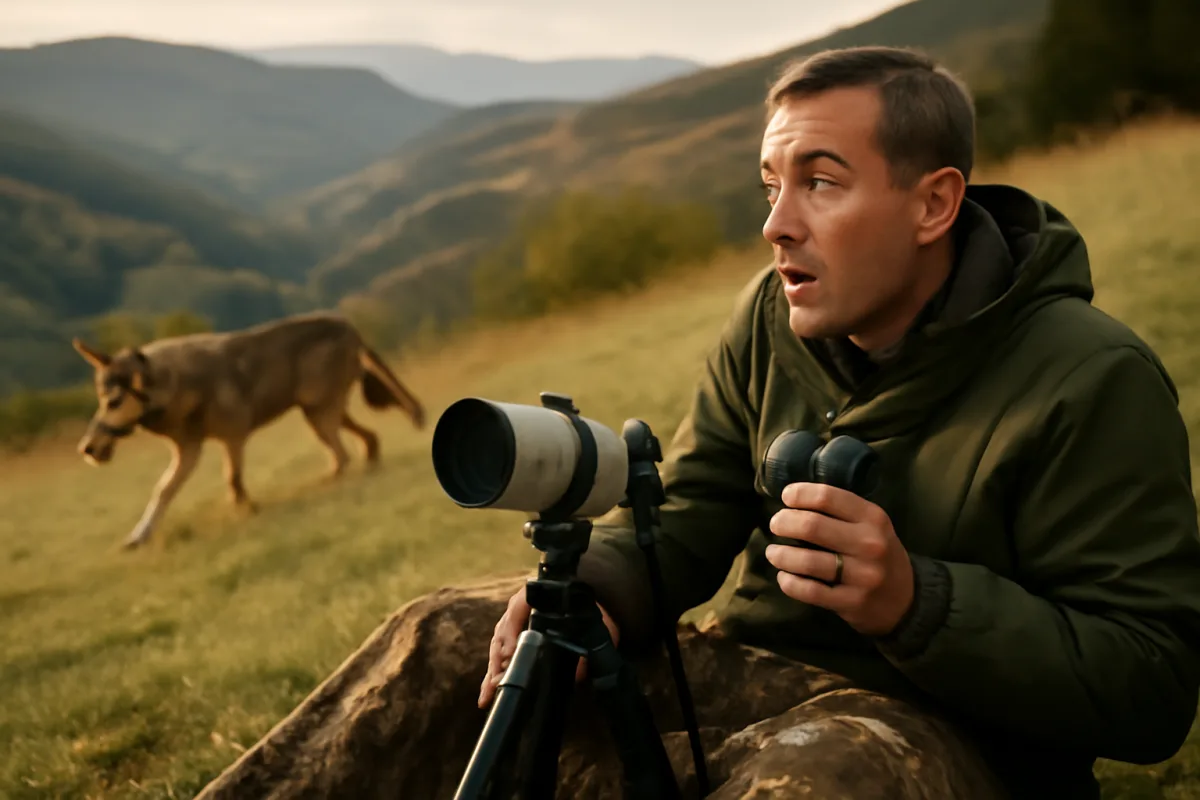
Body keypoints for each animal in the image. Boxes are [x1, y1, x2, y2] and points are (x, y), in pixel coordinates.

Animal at [71, 311, 426, 549]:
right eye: (100, 400)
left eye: (114, 401)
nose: (86, 448)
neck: (175, 385)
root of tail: (349, 327)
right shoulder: (188, 449)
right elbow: (163, 490)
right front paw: (139, 535)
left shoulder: (232, 437)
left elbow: (232, 477)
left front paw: (244, 508)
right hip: (322, 412)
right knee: (365, 441)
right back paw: (364, 467)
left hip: (319, 413)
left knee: (343, 454)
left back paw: (334, 481)